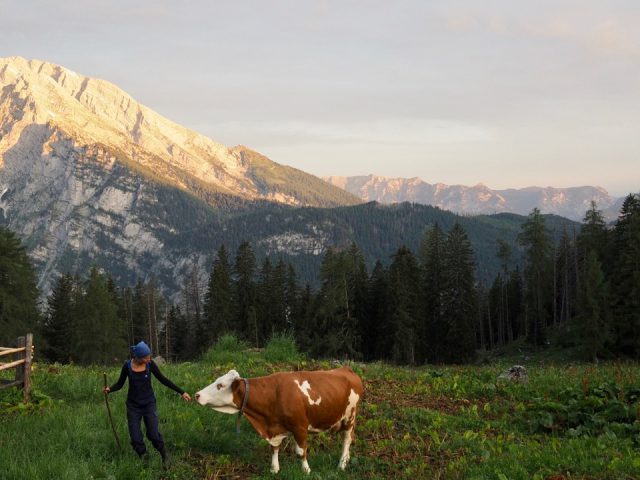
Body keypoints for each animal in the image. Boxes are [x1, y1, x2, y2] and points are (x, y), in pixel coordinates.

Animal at [195, 368, 362, 472]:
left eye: (220, 385)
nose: (197, 395)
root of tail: (346, 369)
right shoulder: (274, 429)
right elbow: (274, 448)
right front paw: (274, 469)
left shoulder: (300, 426)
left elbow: (301, 451)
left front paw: (306, 470)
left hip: (350, 416)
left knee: (347, 440)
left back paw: (342, 464)